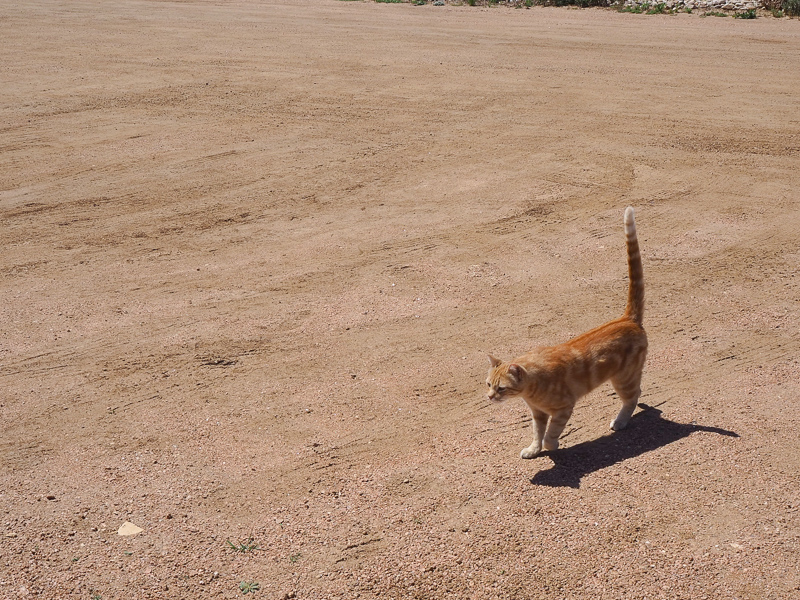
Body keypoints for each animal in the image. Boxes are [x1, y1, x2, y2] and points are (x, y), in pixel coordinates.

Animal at [484, 206, 648, 460]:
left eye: (501, 388)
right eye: (488, 384)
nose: (490, 397)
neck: (530, 389)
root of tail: (626, 318)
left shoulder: (563, 408)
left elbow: (550, 433)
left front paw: (552, 446)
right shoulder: (537, 413)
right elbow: (537, 433)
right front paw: (533, 449)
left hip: (624, 379)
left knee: (633, 395)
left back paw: (621, 421)